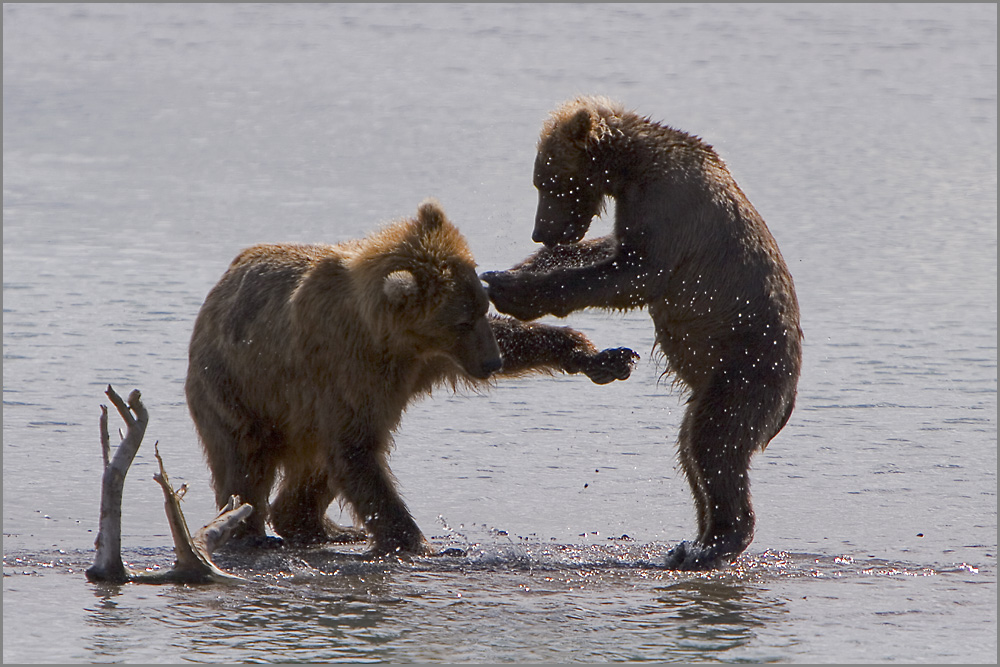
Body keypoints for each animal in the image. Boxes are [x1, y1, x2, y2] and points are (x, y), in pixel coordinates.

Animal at [185, 200, 636, 560]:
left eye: (481, 307)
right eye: (461, 320)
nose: (490, 362)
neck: (390, 339)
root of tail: (213, 297)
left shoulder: (425, 362)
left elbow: (516, 339)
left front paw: (601, 356)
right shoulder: (345, 366)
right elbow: (357, 451)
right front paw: (421, 543)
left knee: (316, 462)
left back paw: (324, 527)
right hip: (235, 387)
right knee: (247, 460)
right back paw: (249, 530)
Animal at [484, 96, 804, 572]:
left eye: (546, 181)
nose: (541, 233)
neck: (631, 167)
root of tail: (790, 399)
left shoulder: (669, 206)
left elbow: (634, 273)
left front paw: (516, 292)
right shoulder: (633, 209)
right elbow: (610, 248)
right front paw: (512, 270)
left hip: (747, 369)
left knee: (715, 445)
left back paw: (710, 544)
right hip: (716, 384)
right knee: (693, 449)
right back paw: (696, 538)